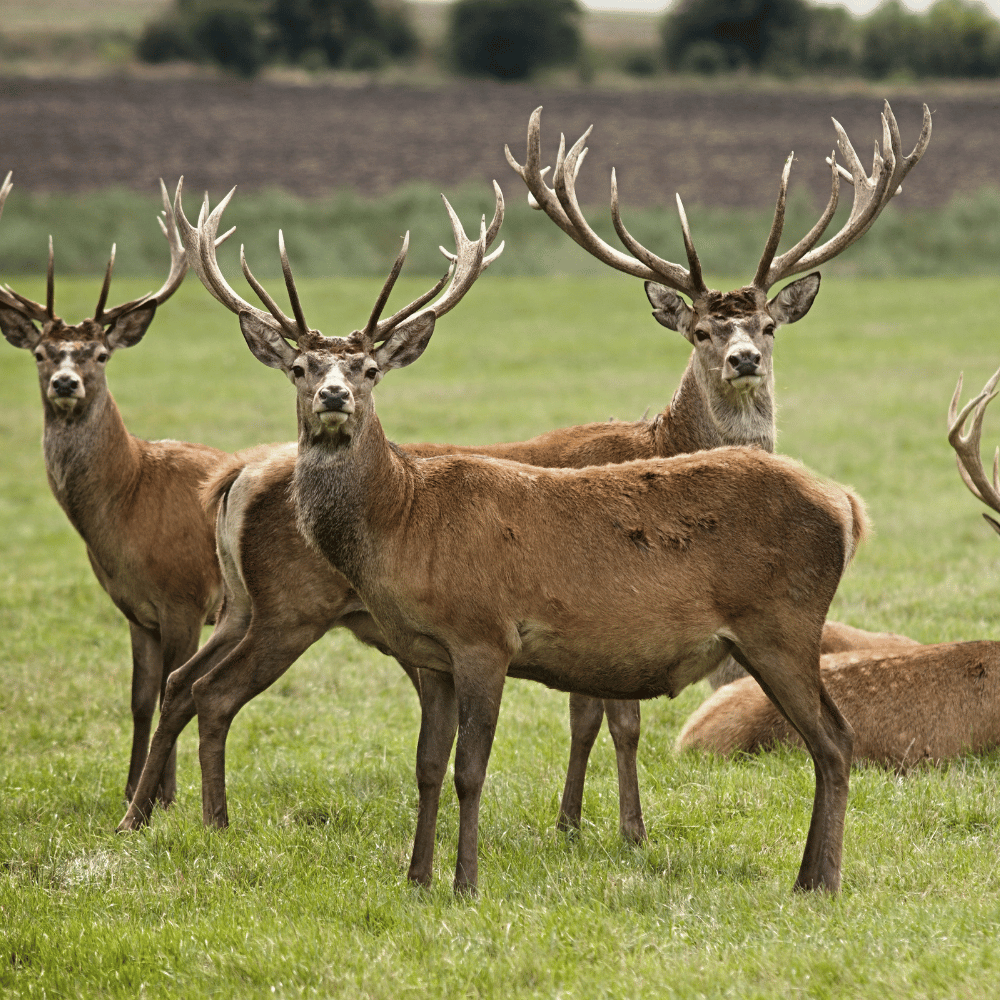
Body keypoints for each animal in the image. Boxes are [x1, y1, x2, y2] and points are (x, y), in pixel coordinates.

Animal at [0, 172, 226, 808]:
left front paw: (163, 796)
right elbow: (140, 698)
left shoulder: (185, 597)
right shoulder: (135, 609)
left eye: (100, 353)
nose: (65, 382)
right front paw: (130, 790)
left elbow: (178, 689)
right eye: (40, 352)